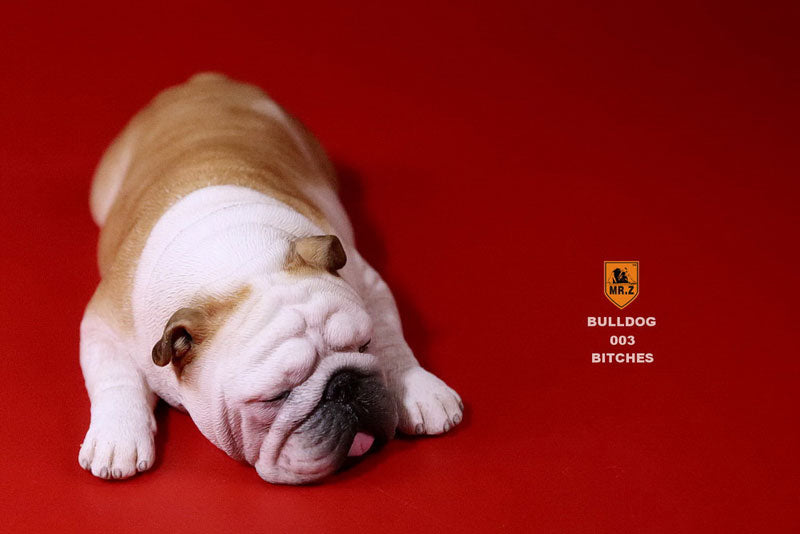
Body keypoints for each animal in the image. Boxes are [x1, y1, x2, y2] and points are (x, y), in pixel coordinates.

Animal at [77, 73, 463, 484]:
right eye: (276, 397)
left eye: (364, 345)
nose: (344, 385)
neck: (243, 264)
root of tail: (202, 82)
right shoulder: (101, 324)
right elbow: (115, 378)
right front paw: (117, 438)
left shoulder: (370, 284)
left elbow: (393, 340)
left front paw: (420, 390)